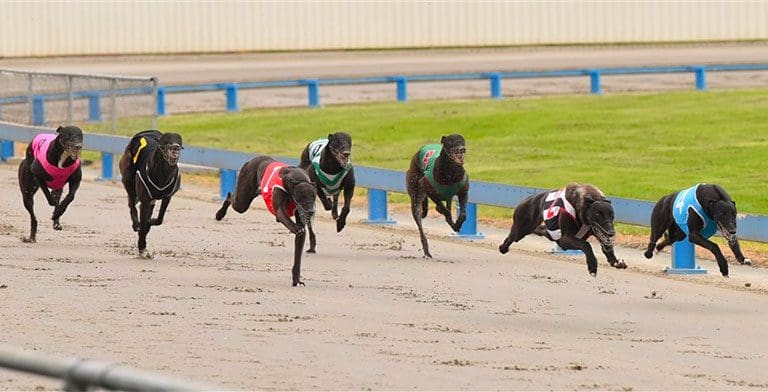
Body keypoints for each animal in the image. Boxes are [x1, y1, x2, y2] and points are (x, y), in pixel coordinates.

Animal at [119, 130, 184, 258]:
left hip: (151, 199)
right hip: (128, 179)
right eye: (166, 140)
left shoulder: (167, 197)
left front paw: (150, 222)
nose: (176, 147)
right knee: (131, 205)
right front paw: (142, 247)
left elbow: (159, 219)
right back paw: (136, 224)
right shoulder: (144, 200)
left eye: (179, 141)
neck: (163, 173)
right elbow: (143, 222)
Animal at [214, 155, 316, 286]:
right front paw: (297, 229)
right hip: (242, 201)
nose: (311, 211)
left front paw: (296, 279)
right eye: (302, 196)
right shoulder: (280, 212)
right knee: (230, 197)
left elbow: (298, 254)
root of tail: (251, 160)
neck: (295, 179)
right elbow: (287, 219)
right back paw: (219, 214)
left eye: (314, 196)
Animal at [496, 183, 628, 276]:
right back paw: (503, 248)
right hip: (521, 229)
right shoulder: (565, 239)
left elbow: (606, 247)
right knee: (512, 237)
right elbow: (586, 245)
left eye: (611, 215)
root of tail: (528, 198)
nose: (611, 233)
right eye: (597, 214)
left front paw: (616, 262)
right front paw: (592, 266)